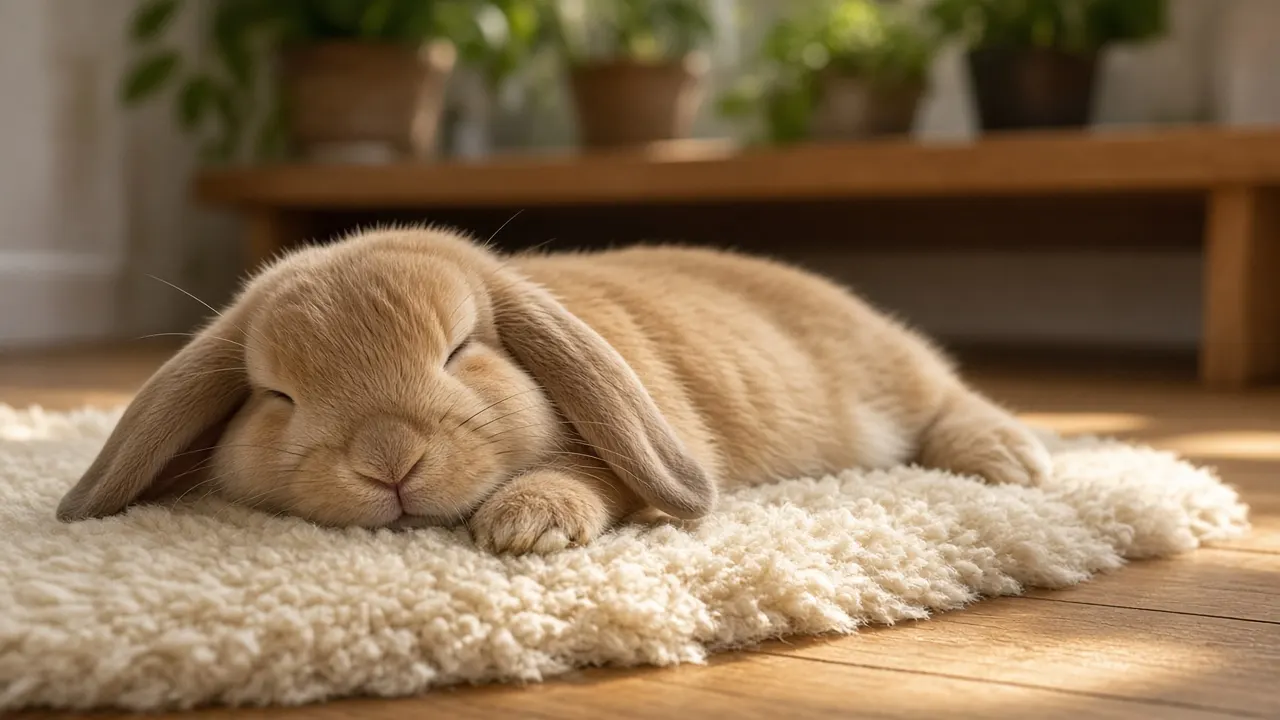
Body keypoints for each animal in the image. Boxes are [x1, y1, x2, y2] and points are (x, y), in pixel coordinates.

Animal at [57, 226, 1051, 554]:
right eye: (277, 397)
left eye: (461, 350)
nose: (390, 461)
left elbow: (597, 470)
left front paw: (526, 526)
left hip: (891, 376)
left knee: (948, 400)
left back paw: (1015, 460)